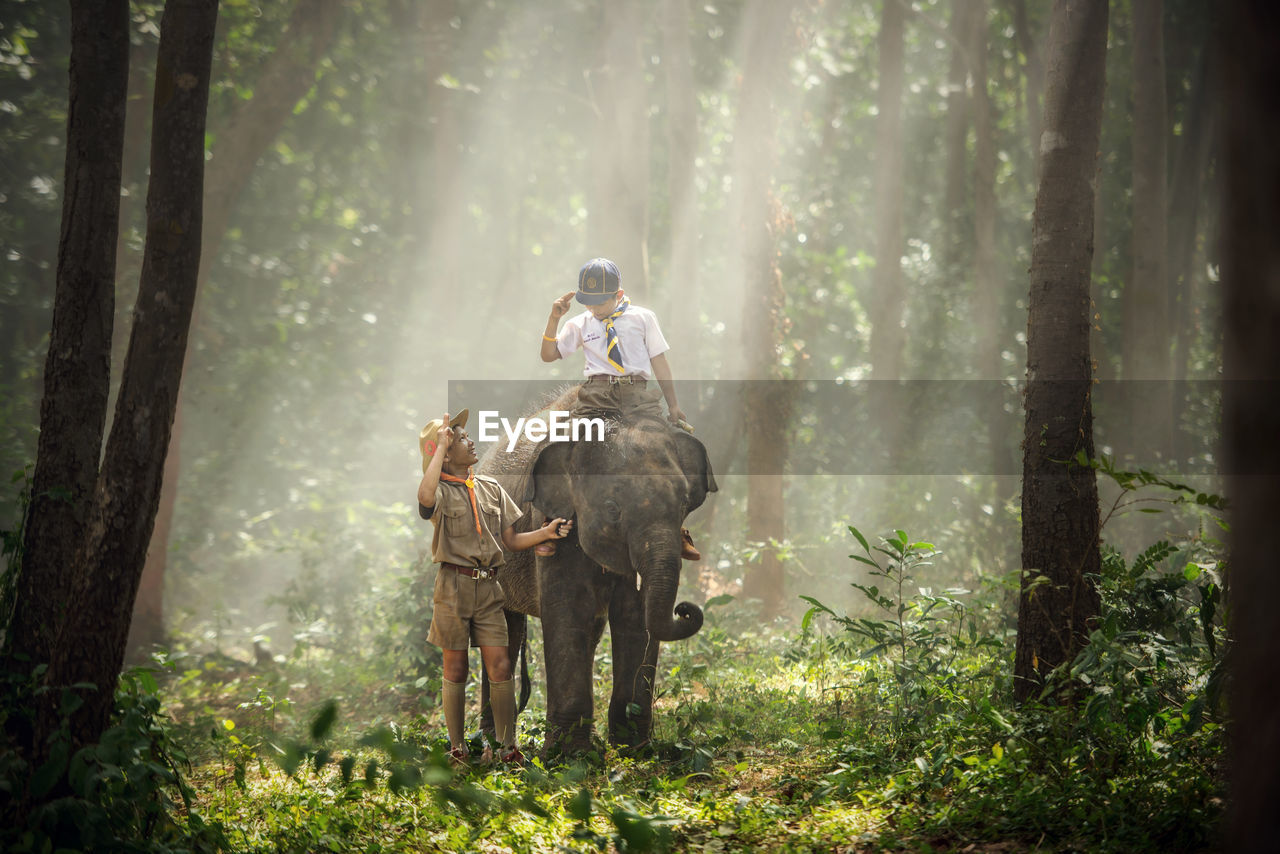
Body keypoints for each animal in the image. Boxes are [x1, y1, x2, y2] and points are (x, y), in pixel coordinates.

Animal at [476, 386, 716, 752]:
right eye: (612, 509)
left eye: (684, 503)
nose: (685, 609)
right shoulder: (551, 522)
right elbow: (568, 610)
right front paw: (567, 756)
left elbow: (634, 616)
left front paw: (633, 748)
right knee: (504, 630)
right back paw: (493, 745)